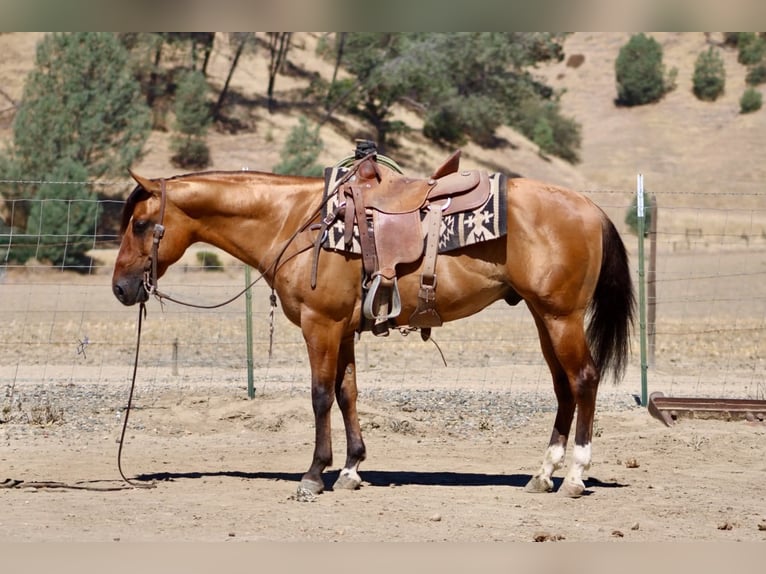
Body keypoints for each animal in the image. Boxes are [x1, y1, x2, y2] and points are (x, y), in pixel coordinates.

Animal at [112, 161, 635, 498]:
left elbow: (320, 394)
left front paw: (313, 474)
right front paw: (351, 469)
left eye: (139, 223)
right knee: (563, 388)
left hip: (561, 317)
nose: (120, 288)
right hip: (544, 318)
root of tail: (589, 208)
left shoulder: (320, 325)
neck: (294, 222)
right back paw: (543, 474)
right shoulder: (342, 329)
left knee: (584, 380)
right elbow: (347, 393)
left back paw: (575, 477)